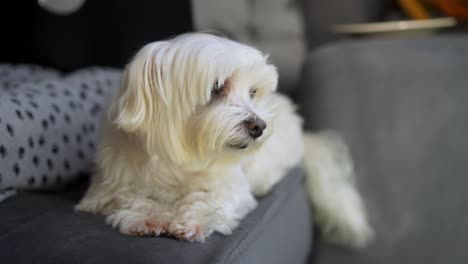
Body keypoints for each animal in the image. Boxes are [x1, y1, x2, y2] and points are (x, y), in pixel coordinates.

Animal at [77, 32, 372, 248]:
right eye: (216, 87)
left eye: (252, 91)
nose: (259, 126)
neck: (180, 160)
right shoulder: (111, 186)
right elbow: (131, 198)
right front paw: (149, 216)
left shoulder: (230, 184)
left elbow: (214, 199)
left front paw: (193, 220)